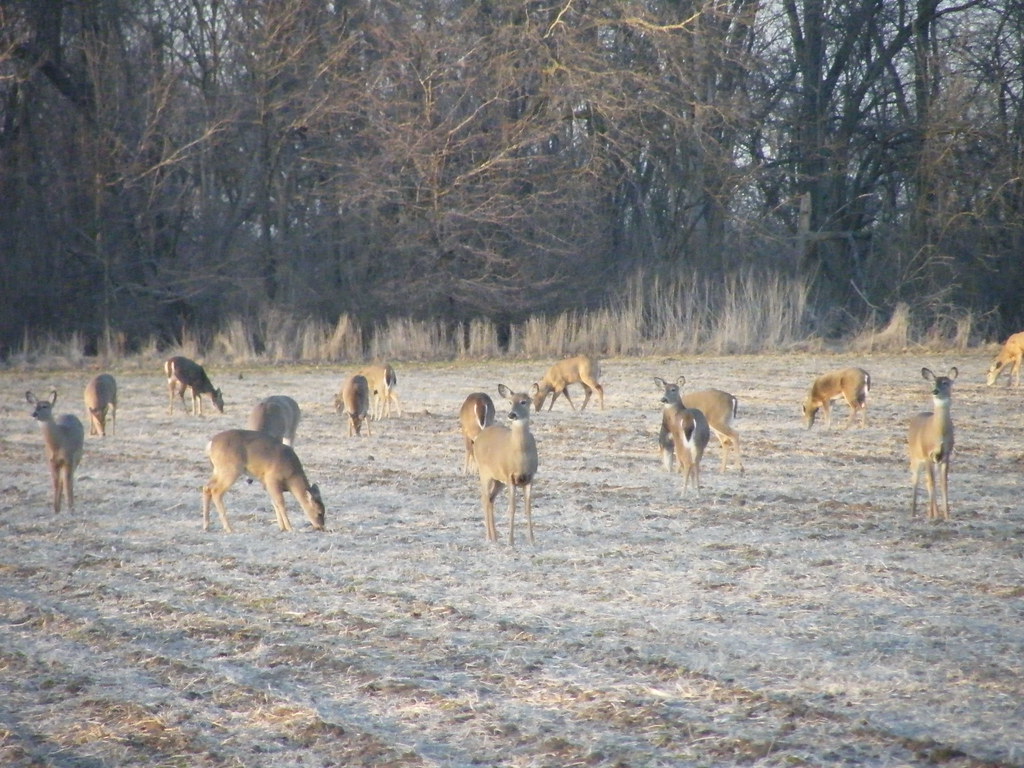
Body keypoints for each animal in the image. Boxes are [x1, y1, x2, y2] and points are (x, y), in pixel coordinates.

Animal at [473, 384, 539, 545]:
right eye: (510, 402)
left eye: (523, 401)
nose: (512, 414)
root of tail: (482, 433)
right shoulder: (510, 476)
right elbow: (512, 508)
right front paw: (511, 541)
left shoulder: (530, 477)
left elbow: (528, 508)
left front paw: (532, 540)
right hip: (484, 472)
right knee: (484, 498)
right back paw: (488, 537)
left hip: (498, 480)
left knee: (490, 499)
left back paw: (495, 537)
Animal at [908, 367, 957, 521]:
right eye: (932, 382)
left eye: (946, 382)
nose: (935, 391)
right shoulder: (927, 453)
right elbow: (932, 482)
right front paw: (933, 515)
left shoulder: (946, 454)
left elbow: (943, 483)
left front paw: (946, 515)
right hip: (915, 457)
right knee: (916, 480)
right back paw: (913, 512)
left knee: (927, 481)